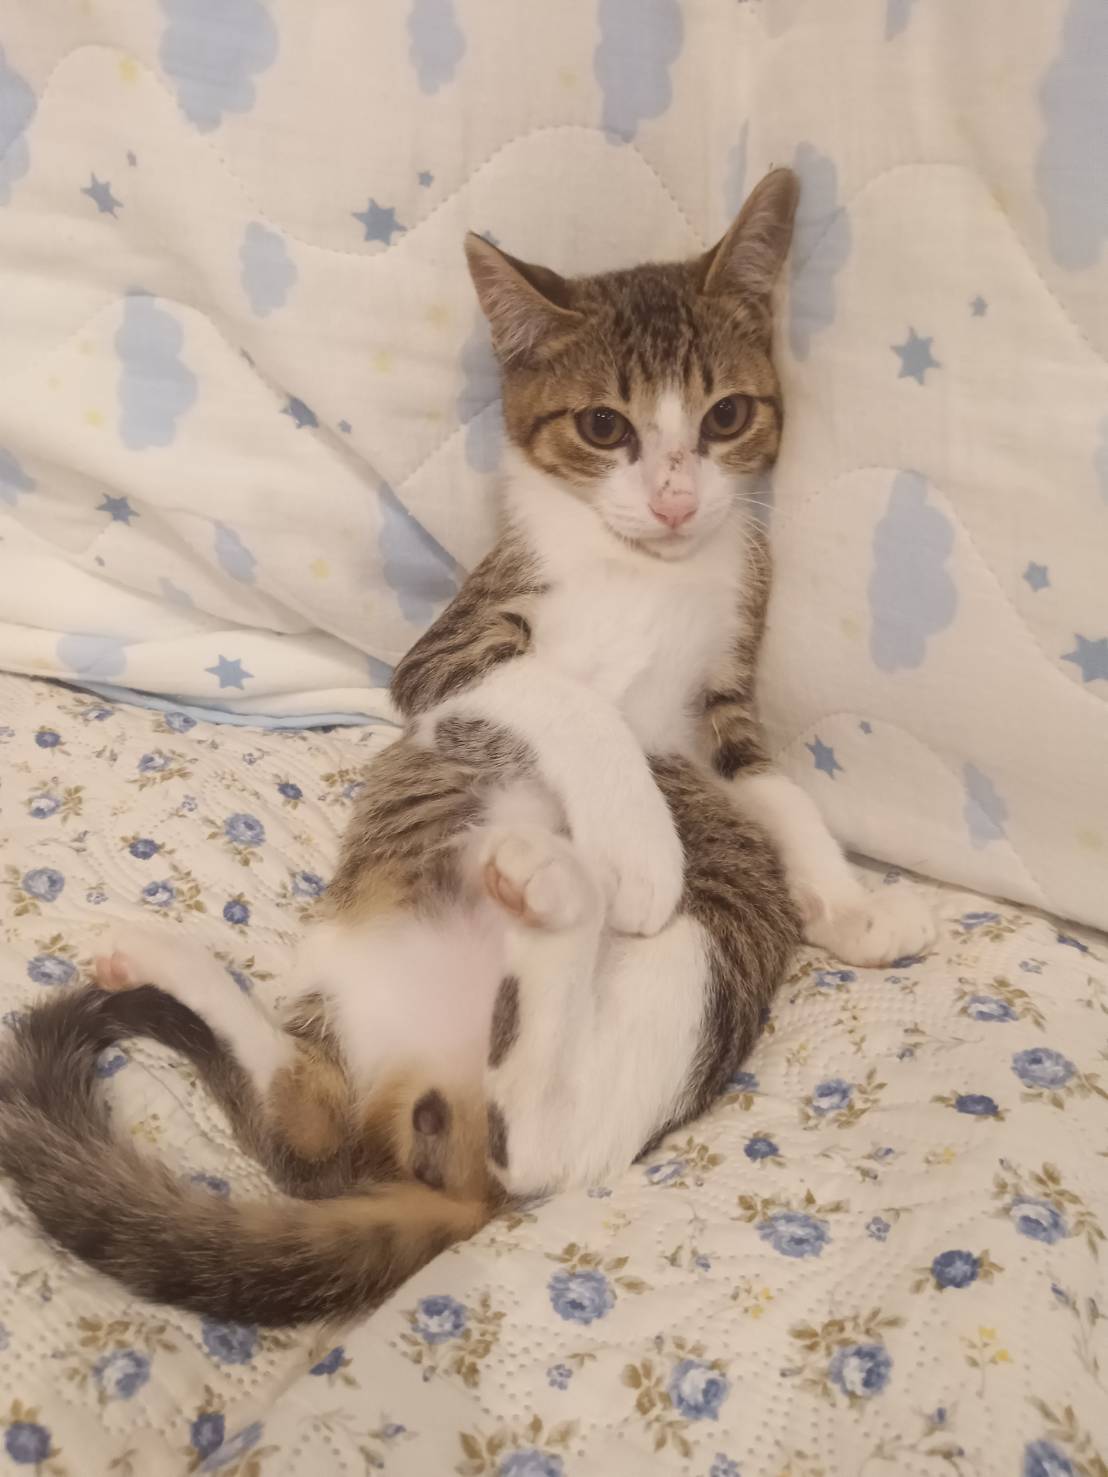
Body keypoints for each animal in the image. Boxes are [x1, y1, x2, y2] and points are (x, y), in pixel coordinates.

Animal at [0, 168, 934, 1328]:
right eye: (604, 426)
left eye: (725, 416)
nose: (676, 499)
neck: (646, 569)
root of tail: (427, 1119)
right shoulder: (447, 658)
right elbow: (563, 694)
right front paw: (638, 839)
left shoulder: (720, 704)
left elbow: (775, 788)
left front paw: (853, 905)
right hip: (360, 971)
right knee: (396, 1130)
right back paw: (557, 885)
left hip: (697, 959)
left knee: (463, 1133)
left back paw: (531, 899)